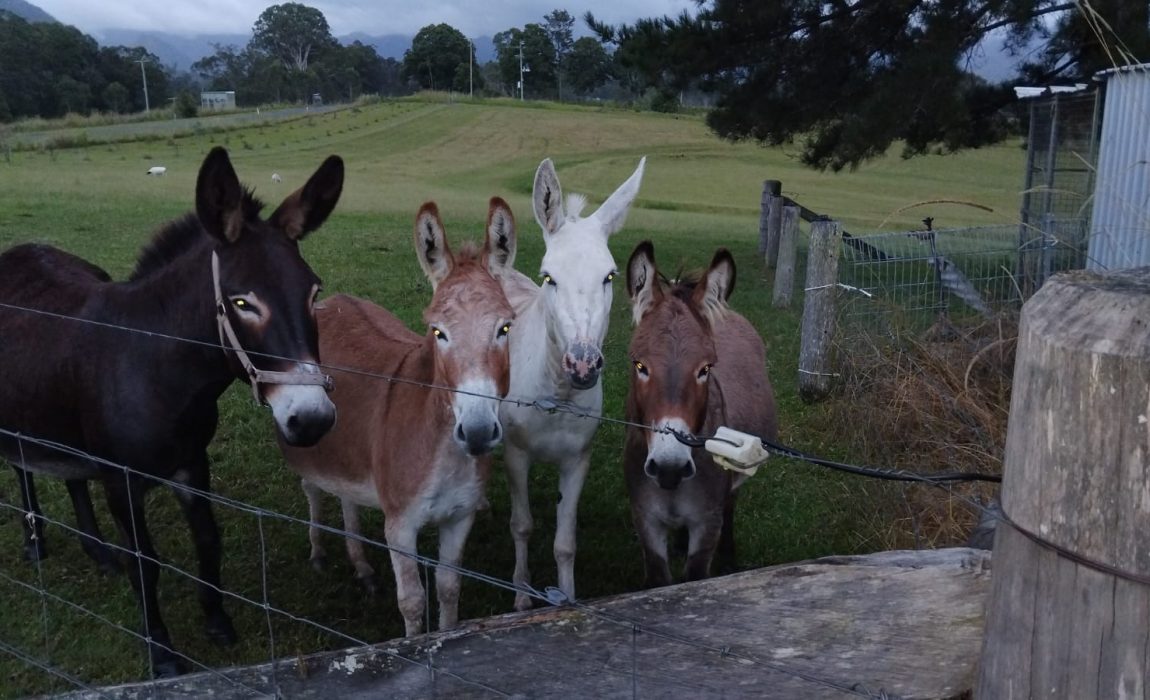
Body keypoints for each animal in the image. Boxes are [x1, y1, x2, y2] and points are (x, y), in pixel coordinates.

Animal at [0, 146, 344, 676]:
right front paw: (161, 653)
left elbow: (208, 540)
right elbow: (146, 564)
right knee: (22, 468)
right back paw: (35, 540)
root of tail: (17, 249)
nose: (312, 419)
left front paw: (218, 622)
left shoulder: (192, 463)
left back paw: (97, 551)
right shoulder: (120, 481)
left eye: (314, 292)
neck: (155, 368)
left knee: (70, 474)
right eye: (241, 302)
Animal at [279, 198, 516, 636]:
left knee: (347, 497)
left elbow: (449, 588)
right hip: (308, 435)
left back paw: (362, 567)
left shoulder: (460, 517)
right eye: (438, 332)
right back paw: (318, 551)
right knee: (313, 488)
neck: (443, 452)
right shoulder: (400, 525)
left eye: (505, 327)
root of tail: (334, 300)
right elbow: (413, 601)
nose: (476, 432)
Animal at [497, 157, 645, 610]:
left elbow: (565, 543)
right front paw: (521, 599)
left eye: (610, 276)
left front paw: (567, 601)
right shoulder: (516, 453)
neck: (557, 399)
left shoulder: (579, 457)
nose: (582, 365)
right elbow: (522, 525)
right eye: (549, 277)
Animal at [622, 241, 778, 588]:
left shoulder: (707, 524)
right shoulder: (645, 520)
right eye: (639, 365)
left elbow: (694, 578)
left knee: (731, 504)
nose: (670, 467)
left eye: (705, 369)